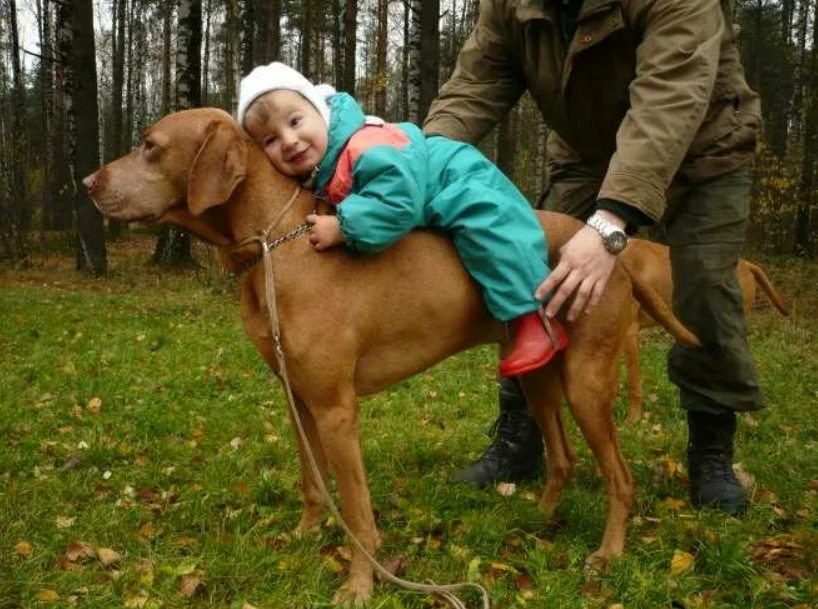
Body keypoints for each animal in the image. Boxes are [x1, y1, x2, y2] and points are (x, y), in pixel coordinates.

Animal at [81, 109, 696, 604]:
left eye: (150, 144)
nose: (86, 182)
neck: (278, 245)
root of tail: (616, 258)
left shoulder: (337, 409)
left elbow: (357, 508)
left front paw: (359, 584)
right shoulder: (297, 399)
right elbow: (313, 481)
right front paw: (307, 535)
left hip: (587, 382)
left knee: (620, 477)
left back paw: (608, 553)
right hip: (539, 376)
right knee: (562, 456)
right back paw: (537, 517)